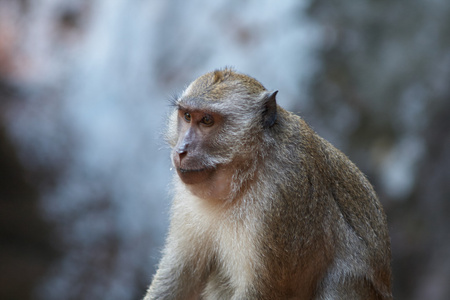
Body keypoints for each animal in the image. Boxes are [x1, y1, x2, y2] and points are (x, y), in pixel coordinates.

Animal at [143, 68, 390, 300]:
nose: (181, 150)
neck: (243, 177)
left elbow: (266, 288)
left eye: (206, 120)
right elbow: (179, 276)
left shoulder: (283, 193)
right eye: (186, 116)